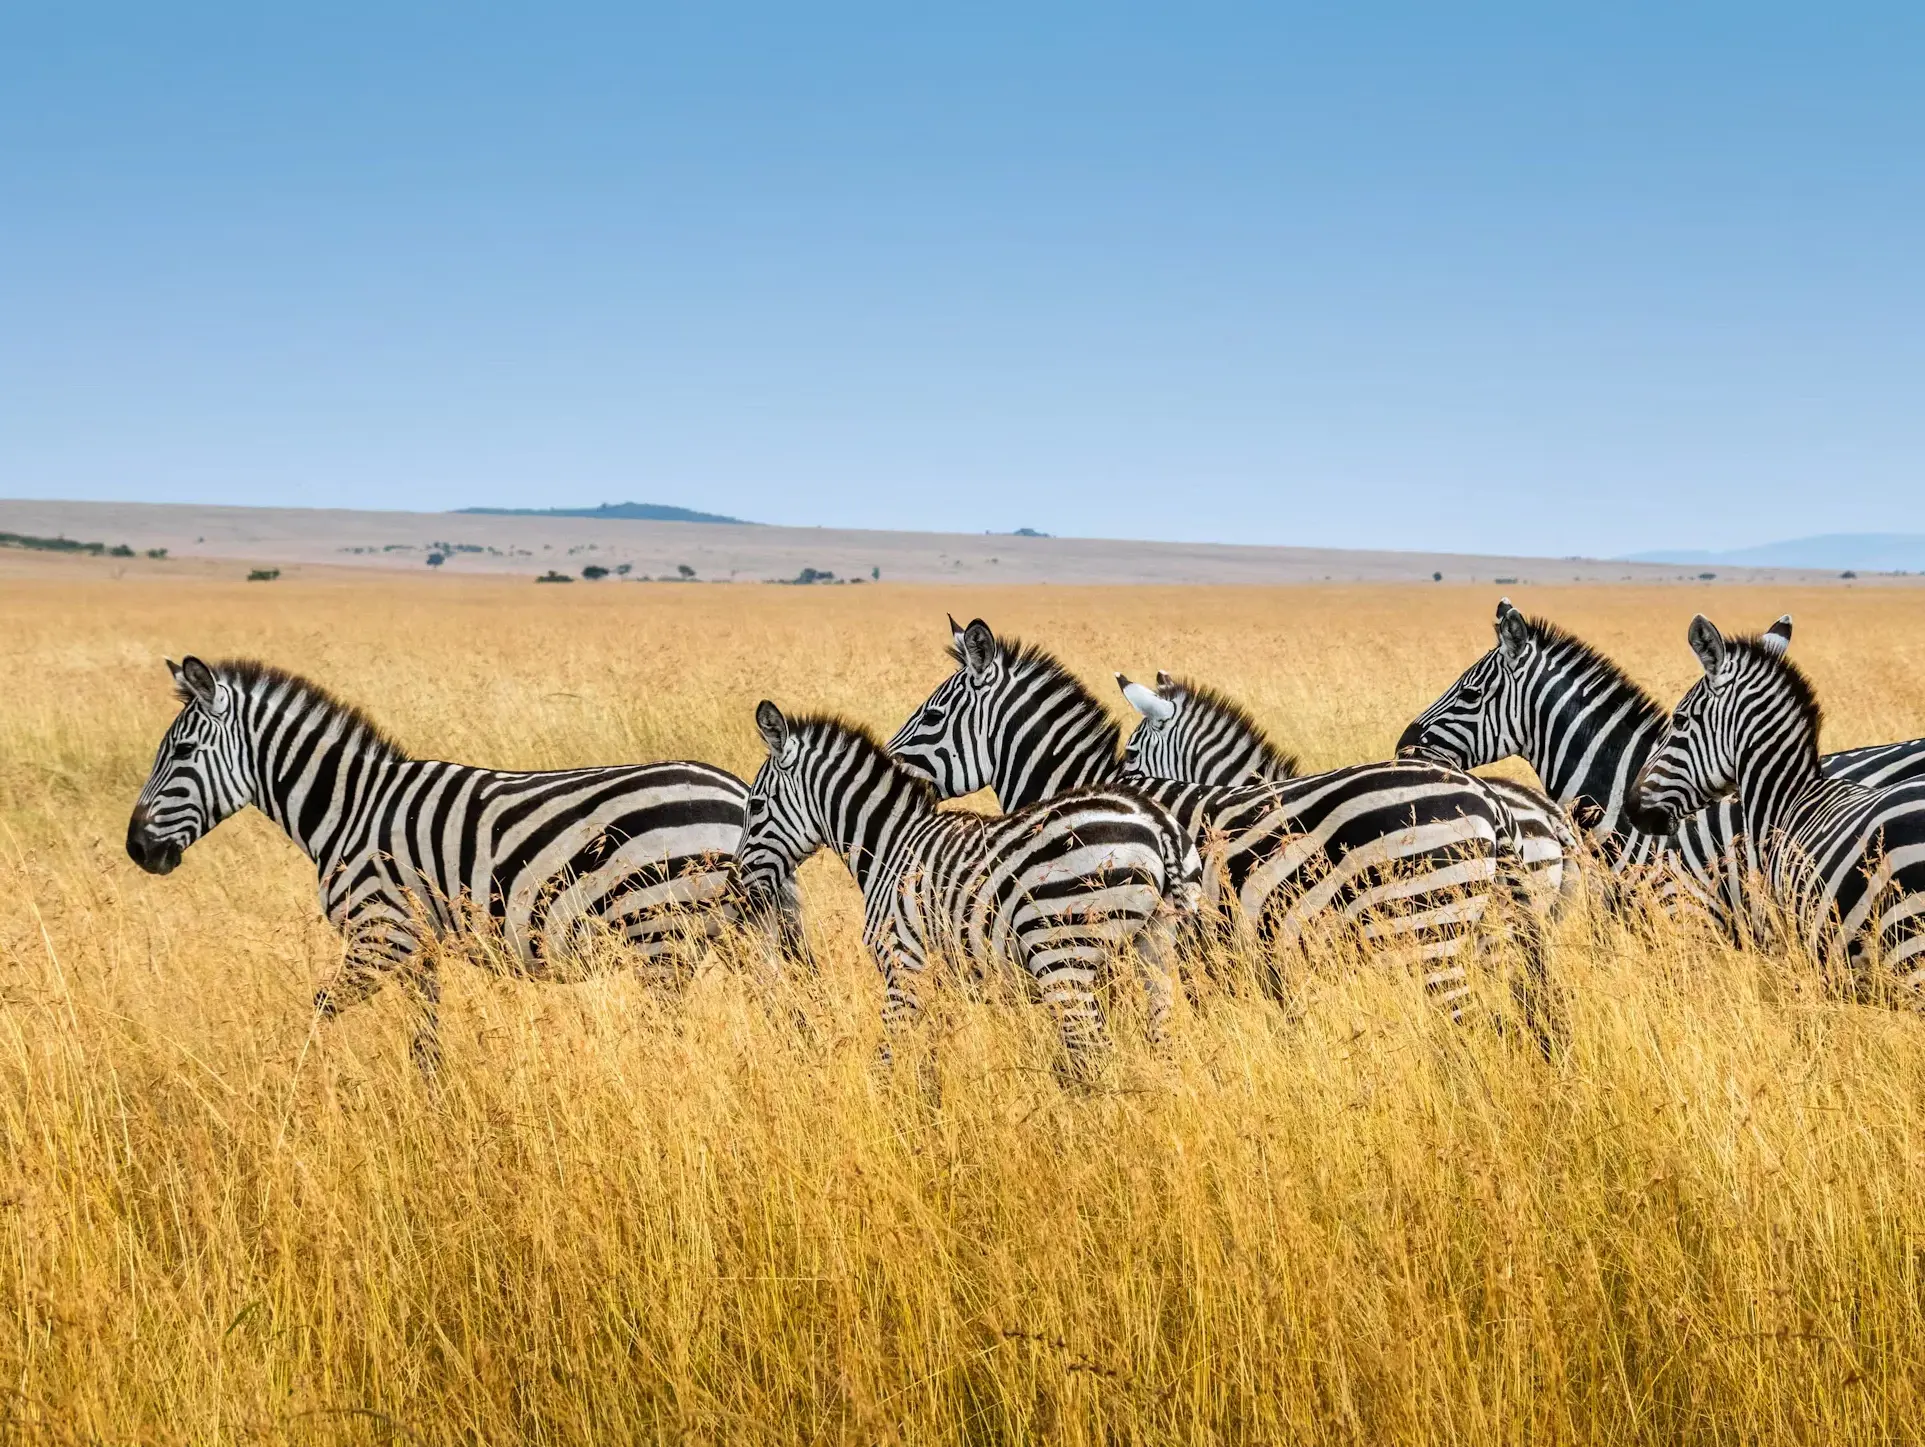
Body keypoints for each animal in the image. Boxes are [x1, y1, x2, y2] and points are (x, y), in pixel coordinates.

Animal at [125, 656, 783, 1072]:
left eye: (182, 752)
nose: (136, 849)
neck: (350, 807)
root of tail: (737, 792)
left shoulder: (380, 936)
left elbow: (316, 1016)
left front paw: (289, 1098)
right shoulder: (416, 948)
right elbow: (425, 1044)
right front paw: (433, 1115)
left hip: (661, 937)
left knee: (671, 1037)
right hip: (737, 936)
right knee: (787, 1017)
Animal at [735, 702, 1202, 1065]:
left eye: (755, 805)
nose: (738, 884)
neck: (889, 844)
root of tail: (1155, 822)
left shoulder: (904, 963)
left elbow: (889, 1055)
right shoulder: (946, 978)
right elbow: (931, 1055)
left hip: (1062, 956)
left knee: (1094, 1052)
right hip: (1155, 946)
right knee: (1162, 1043)